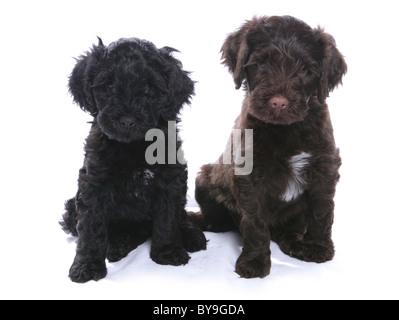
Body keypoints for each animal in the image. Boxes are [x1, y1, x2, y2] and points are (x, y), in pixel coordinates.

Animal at [61, 37, 209, 282]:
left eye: (149, 87)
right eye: (109, 85)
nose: (128, 120)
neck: (132, 146)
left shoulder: (171, 179)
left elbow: (168, 218)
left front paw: (167, 252)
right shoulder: (93, 183)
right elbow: (91, 227)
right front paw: (87, 266)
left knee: (179, 215)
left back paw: (190, 235)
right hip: (72, 207)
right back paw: (117, 245)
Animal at [193, 16, 346, 278]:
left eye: (305, 70)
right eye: (262, 64)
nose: (278, 103)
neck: (285, 128)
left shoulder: (324, 166)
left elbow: (322, 209)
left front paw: (318, 246)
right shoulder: (249, 173)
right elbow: (254, 222)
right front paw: (255, 261)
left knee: (288, 231)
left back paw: (296, 243)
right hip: (205, 178)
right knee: (219, 221)